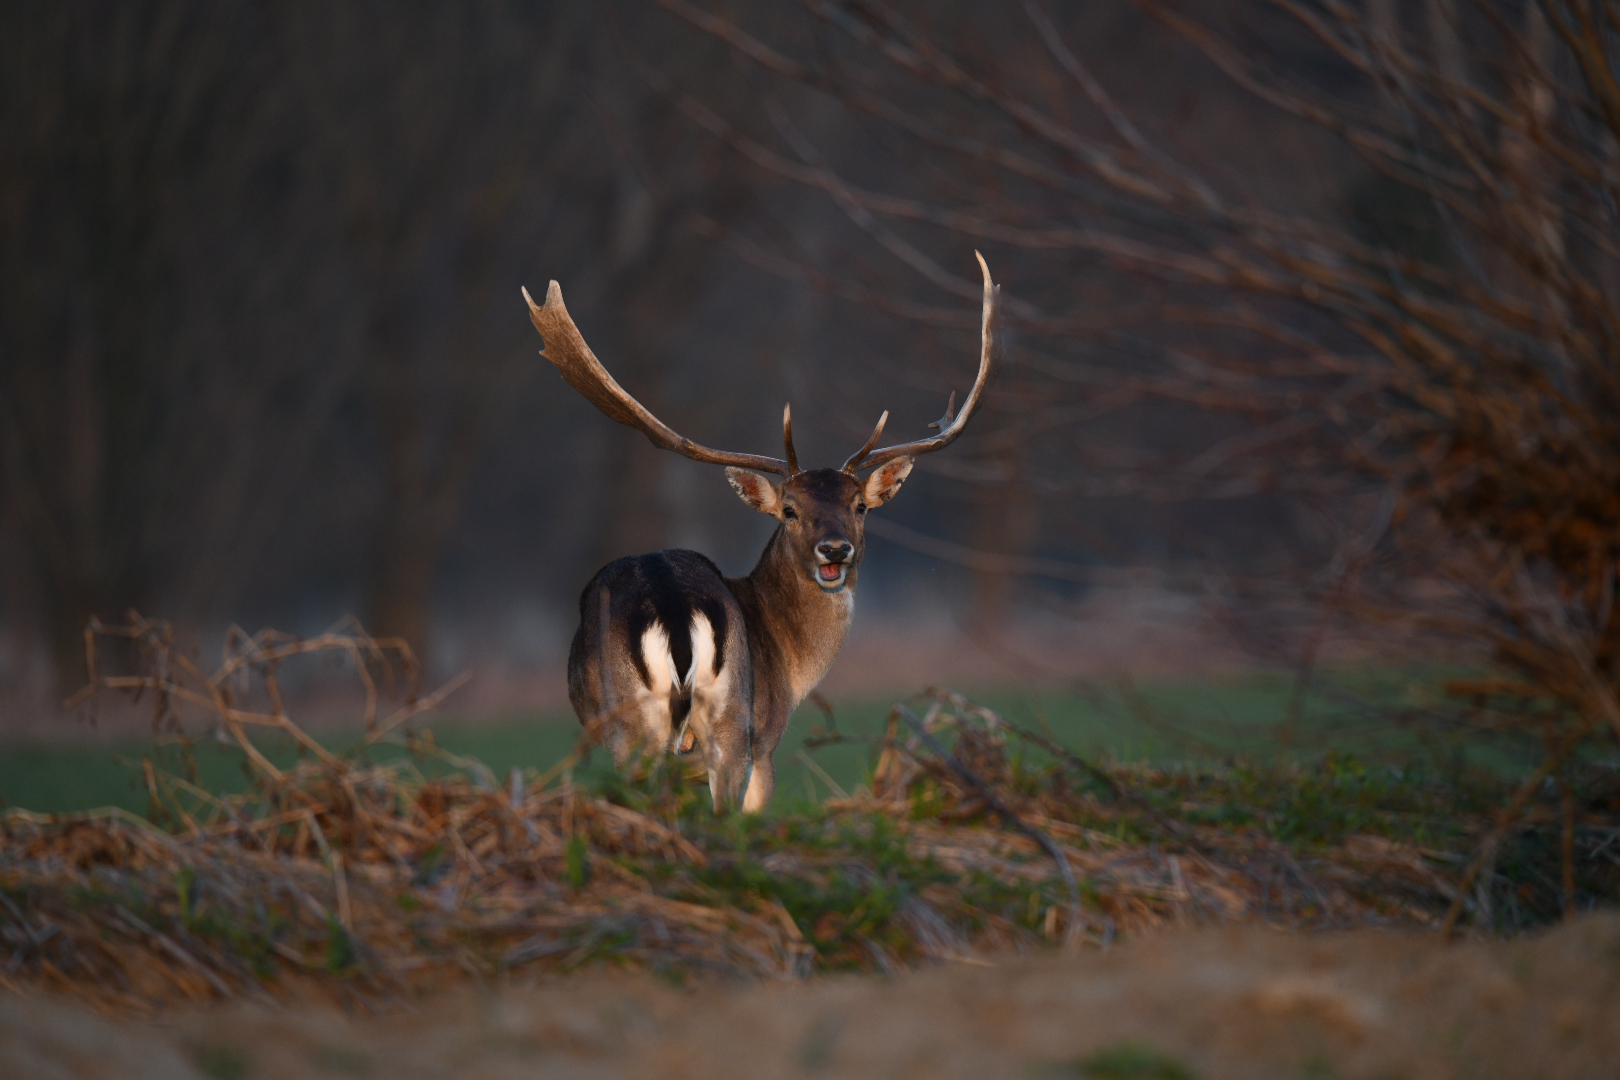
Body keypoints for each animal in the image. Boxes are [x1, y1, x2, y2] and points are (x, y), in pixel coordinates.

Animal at [521, 253, 998, 812]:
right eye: (788, 510)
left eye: (860, 506)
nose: (834, 550)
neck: (791, 664)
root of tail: (672, 606)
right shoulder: (767, 736)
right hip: (706, 724)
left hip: (667, 727)